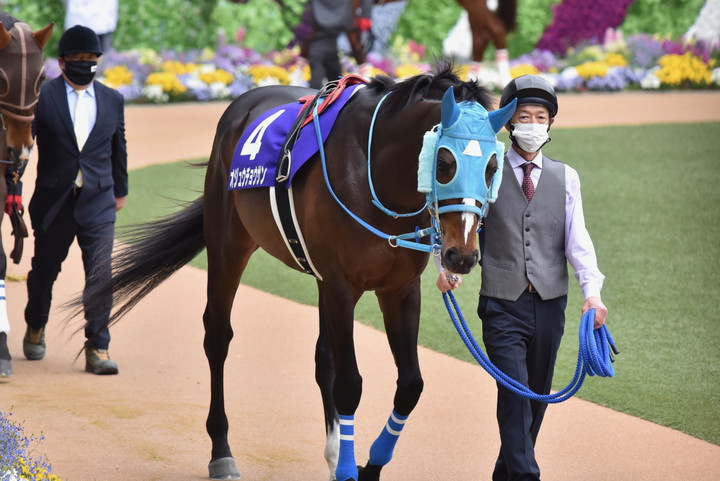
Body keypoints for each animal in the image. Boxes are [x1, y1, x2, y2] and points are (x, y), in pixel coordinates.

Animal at [76, 62, 516, 478]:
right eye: (445, 162)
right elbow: (349, 384)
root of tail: (241, 105)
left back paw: (335, 450)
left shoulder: (399, 287)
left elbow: (409, 384)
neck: (376, 171)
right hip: (228, 243)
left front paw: (369, 465)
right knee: (217, 337)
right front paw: (349, 470)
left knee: (324, 357)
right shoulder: (340, 285)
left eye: (494, 165)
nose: (462, 255)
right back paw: (222, 453)